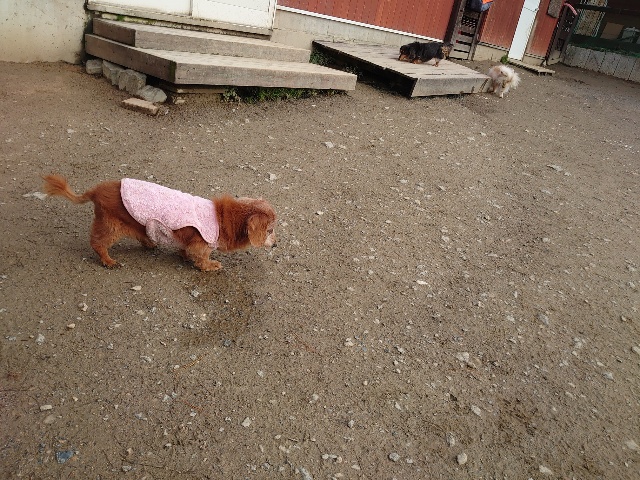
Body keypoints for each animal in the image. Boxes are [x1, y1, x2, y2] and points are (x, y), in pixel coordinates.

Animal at [43, 174, 276, 271]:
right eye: (270, 230)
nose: (276, 245)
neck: (223, 218)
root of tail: (95, 191)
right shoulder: (201, 245)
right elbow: (201, 258)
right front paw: (211, 266)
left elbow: (185, 251)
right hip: (112, 226)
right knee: (97, 243)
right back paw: (108, 261)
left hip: (134, 223)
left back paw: (149, 243)